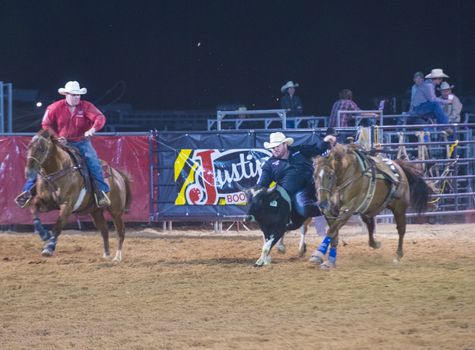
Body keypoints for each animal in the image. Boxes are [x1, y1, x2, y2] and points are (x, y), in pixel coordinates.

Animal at [24, 130, 132, 262]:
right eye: (29, 146)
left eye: (41, 148)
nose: (28, 171)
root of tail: (118, 175)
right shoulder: (46, 203)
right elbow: (33, 209)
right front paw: (43, 234)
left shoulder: (68, 205)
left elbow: (58, 225)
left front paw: (48, 248)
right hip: (95, 212)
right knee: (104, 230)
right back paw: (106, 254)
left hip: (116, 211)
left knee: (120, 231)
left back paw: (117, 256)